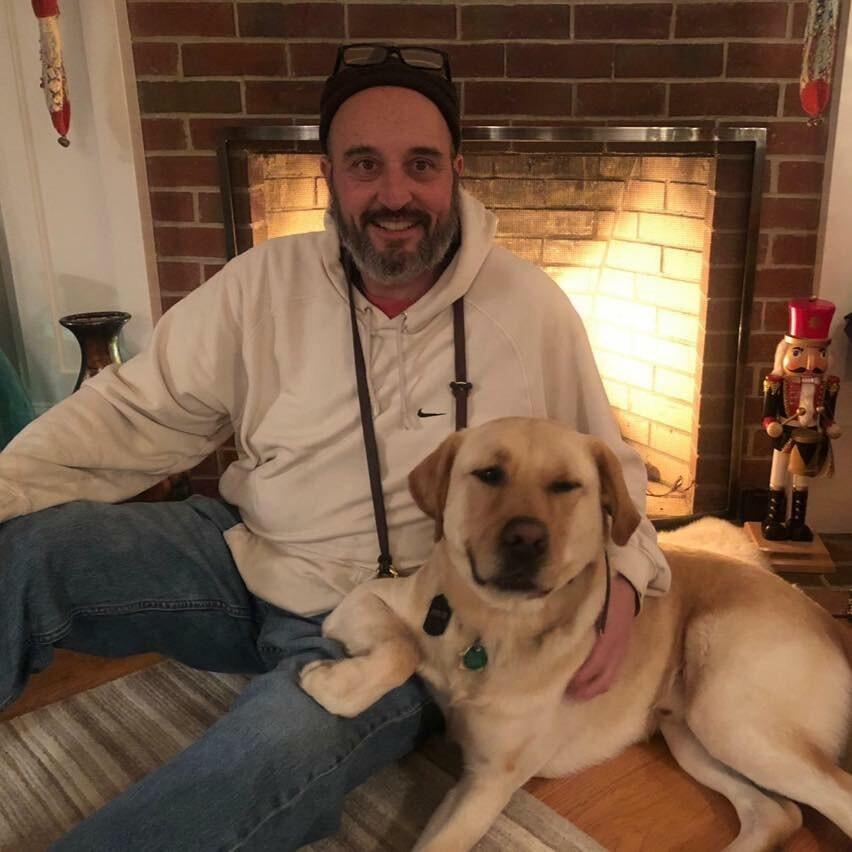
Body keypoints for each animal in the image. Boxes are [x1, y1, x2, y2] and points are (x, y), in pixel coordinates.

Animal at [300, 416, 852, 848]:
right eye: (489, 475)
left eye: (566, 486)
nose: (525, 539)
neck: (495, 625)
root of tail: (827, 619)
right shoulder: (364, 602)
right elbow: (405, 649)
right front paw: (338, 682)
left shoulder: (488, 784)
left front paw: (324, 680)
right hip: (690, 730)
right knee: (777, 813)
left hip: (732, 715)